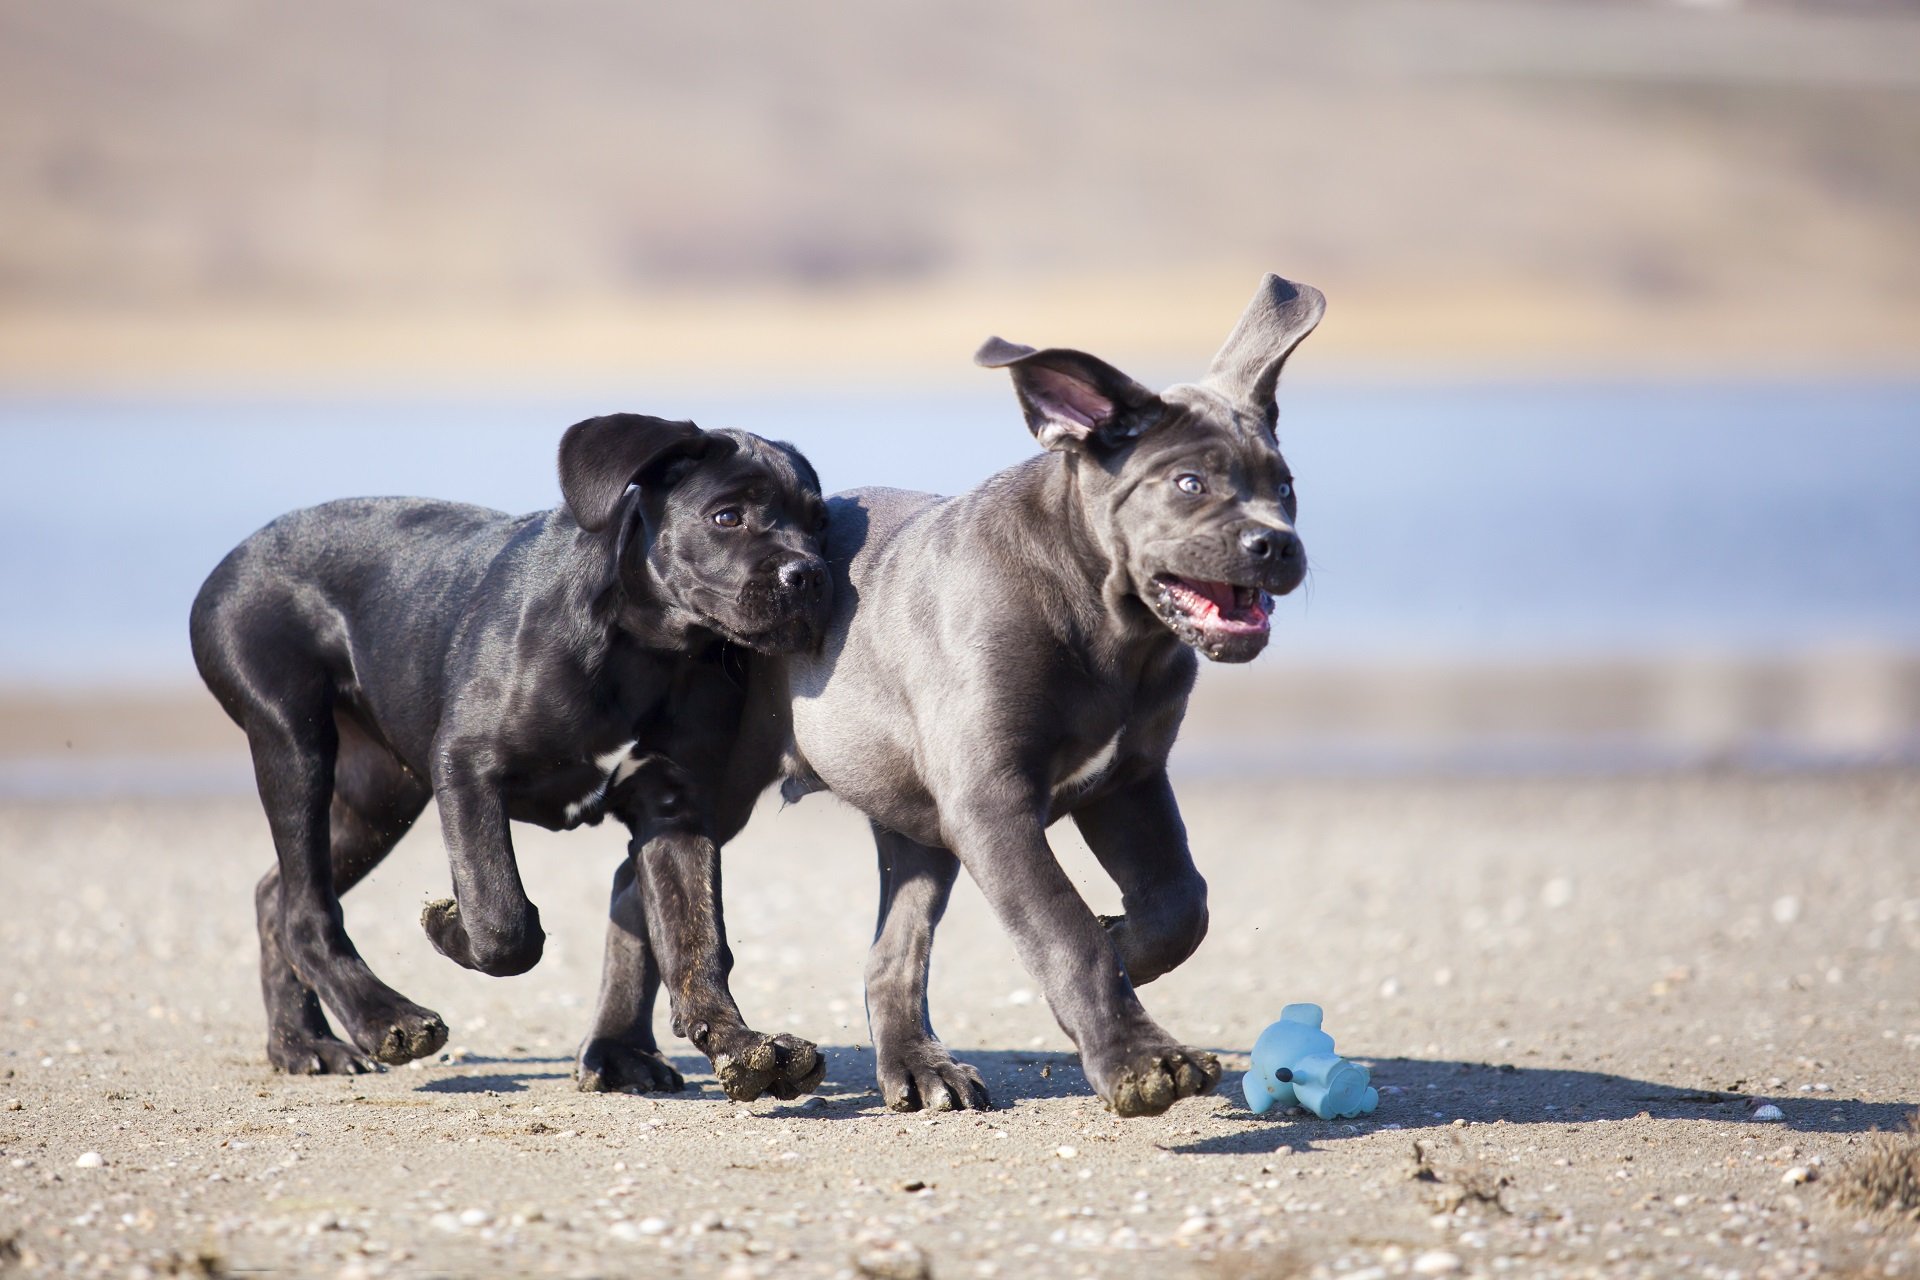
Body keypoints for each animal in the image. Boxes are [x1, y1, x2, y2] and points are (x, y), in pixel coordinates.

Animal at [187, 412, 833, 1105]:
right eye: (726, 517)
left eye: (819, 525)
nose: (809, 574)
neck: (647, 651)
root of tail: (236, 556)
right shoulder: (468, 766)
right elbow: (503, 921)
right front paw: (450, 927)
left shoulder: (677, 810)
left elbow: (696, 942)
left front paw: (740, 1042)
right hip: (294, 739)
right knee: (306, 907)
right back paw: (383, 1020)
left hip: (378, 796)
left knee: (276, 894)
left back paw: (302, 1042)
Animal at [779, 276, 1320, 1113]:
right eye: (1189, 483)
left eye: (1285, 487)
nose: (1279, 544)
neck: (1106, 624)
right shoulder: (993, 803)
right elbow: (1065, 930)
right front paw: (1137, 1059)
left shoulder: (1128, 782)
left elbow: (1181, 900)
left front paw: (1126, 945)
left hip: (916, 834)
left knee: (893, 956)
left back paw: (921, 1068)